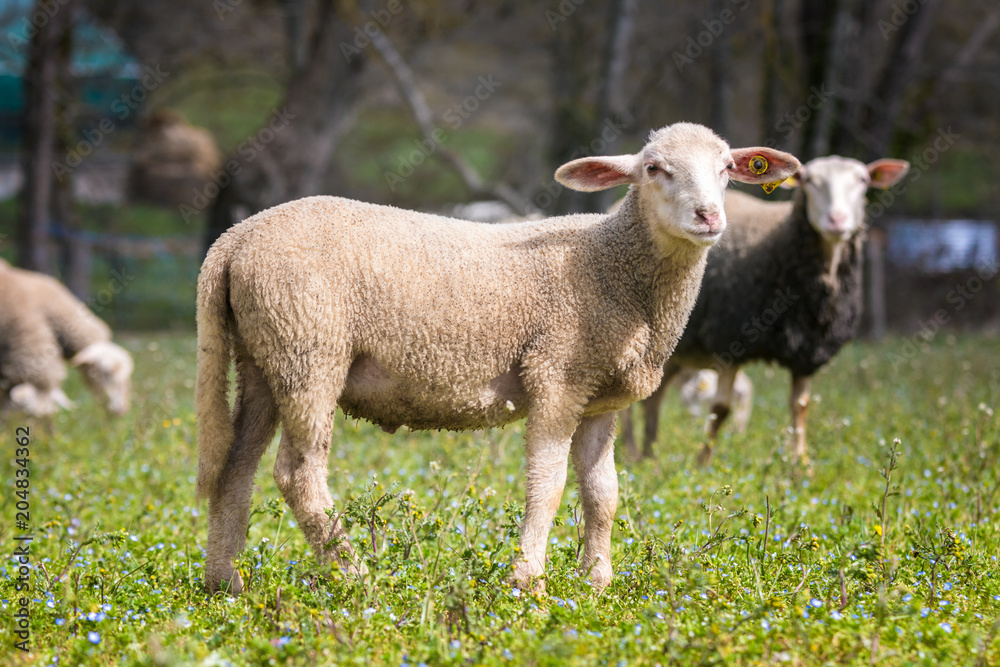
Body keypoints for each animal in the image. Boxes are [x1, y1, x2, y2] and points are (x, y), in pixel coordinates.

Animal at [195, 122, 801, 595]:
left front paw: (597, 580)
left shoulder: (601, 398)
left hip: (263, 357)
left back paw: (225, 581)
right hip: (310, 347)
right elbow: (549, 484)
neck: (611, 267)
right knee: (297, 473)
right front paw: (528, 578)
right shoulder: (558, 374)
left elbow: (603, 493)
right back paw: (356, 575)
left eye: (727, 168)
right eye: (653, 169)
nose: (708, 217)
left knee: (237, 466)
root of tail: (234, 239)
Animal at [621, 155, 909, 465]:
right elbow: (721, 408)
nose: (837, 221)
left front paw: (801, 465)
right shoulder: (731, 337)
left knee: (654, 398)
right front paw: (702, 464)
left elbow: (800, 406)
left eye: (863, 181)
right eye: (809, 181)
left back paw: (650, 456)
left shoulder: (805, 352)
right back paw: (633, 453)